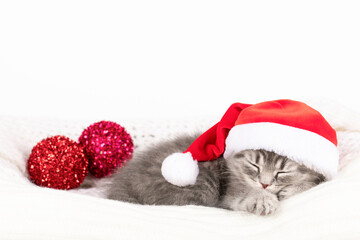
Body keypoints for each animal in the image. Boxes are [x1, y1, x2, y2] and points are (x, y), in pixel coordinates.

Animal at [107, 134, 326, 215]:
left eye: (283, 170)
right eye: (254, 165)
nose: (264, 184)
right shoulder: (230, 192)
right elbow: (242, 196)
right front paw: (262, 199)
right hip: (200, 184)